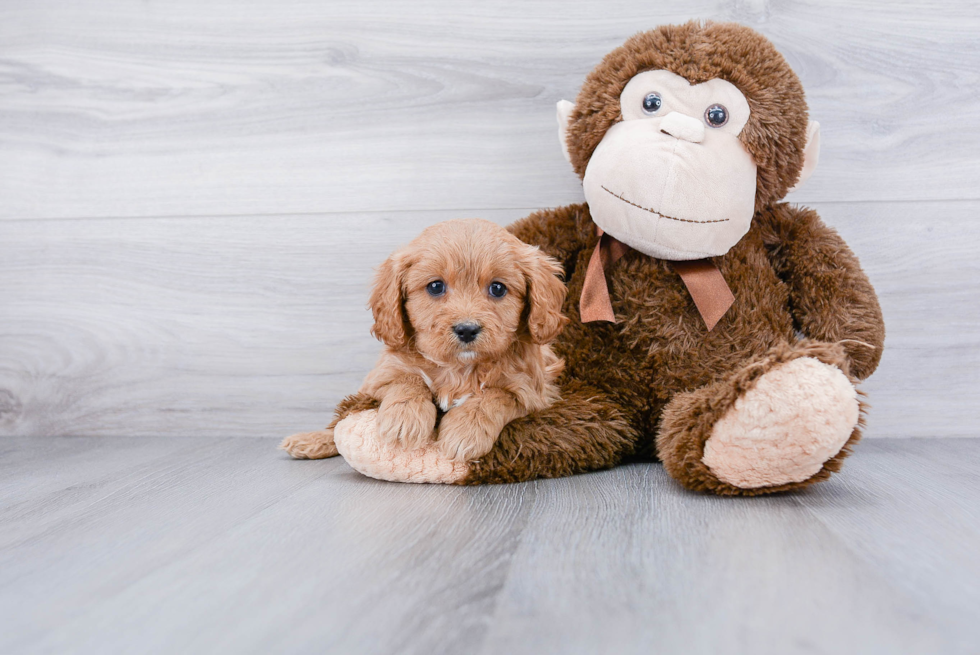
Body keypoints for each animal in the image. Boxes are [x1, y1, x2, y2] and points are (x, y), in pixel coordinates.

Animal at [280, 223, 568, 464]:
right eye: (435, 286)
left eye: (498, 288)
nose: (467, 330)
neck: (458, 368)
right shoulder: (380, 377)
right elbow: (408, 379)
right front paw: (404, 418)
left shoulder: (533, 392)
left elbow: (494, 395)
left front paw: (465, 431)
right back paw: (310, 441)